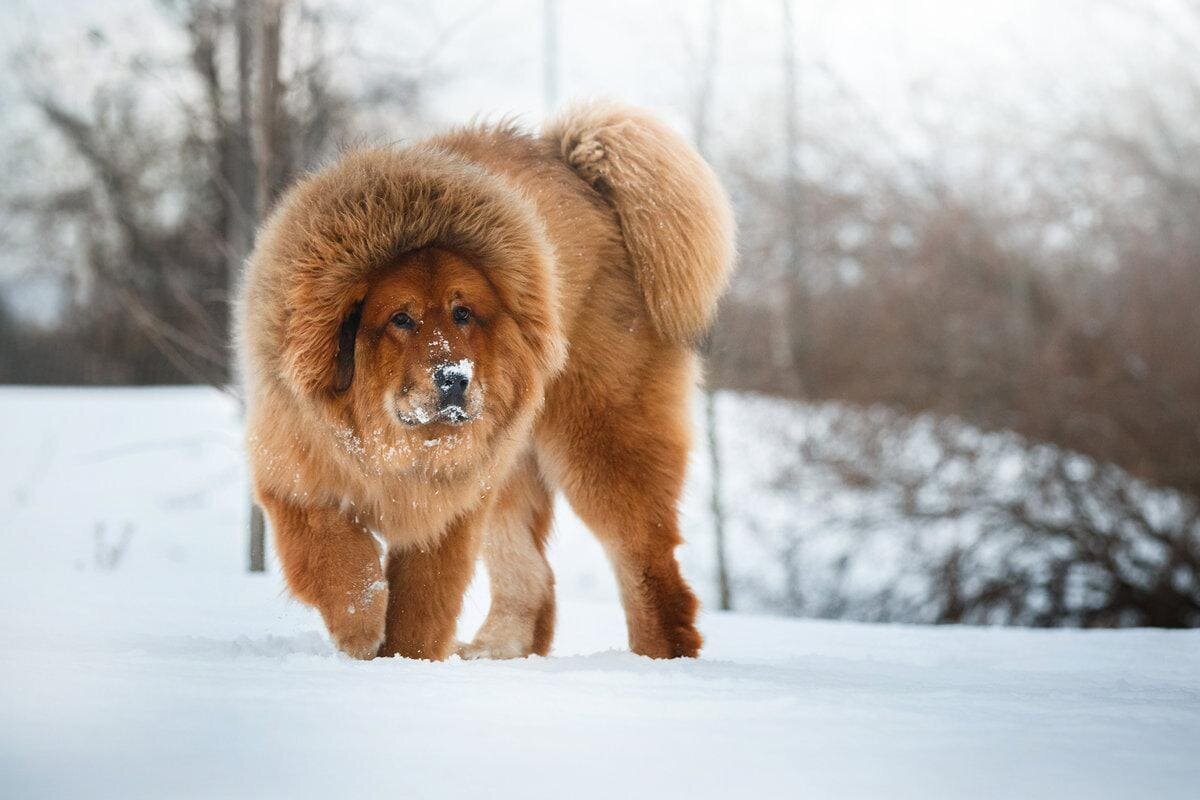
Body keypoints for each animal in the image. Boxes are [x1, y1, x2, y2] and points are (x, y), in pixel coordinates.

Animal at [236, 100, 729, 662]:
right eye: (400, 319)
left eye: (463, 313)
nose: (454, 378)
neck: (392, 447)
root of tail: (582, 177)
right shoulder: (295, 474)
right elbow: (337, 559)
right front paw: (362, 627)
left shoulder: (448, 513)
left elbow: (422, 603)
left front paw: (403, 658)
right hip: (509, 470)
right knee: (533, 577)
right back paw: (495, 652)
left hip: (601, 444)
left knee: (647, 568)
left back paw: (655, 660)